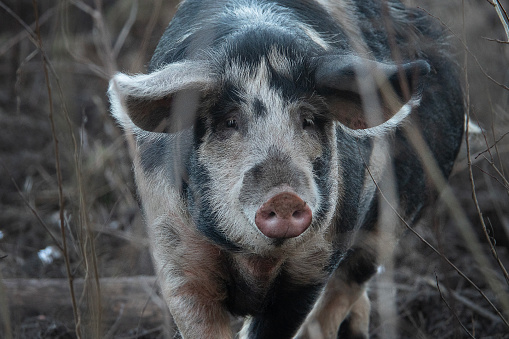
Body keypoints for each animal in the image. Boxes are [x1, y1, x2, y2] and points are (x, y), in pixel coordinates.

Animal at [107, 1, 464, 338]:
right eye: (230, 122)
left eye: (307, 120)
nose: (283, 197)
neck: (256, 262)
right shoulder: (176, 253)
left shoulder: (312, 269)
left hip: (395, 217)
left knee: (344, 291)